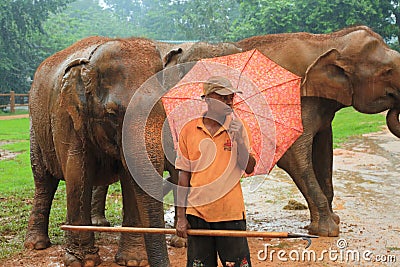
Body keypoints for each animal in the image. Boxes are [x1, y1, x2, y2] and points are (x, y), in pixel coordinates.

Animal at [23, 36, 170, 267]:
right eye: (111, 114)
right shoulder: (67, 116)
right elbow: (77, 173)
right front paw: (82, 261)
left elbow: (130, 179)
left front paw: (133, 260)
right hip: (36, 131)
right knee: (44, 181)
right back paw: (36, 245)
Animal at [162, 26, 400, 238]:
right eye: (387, 72)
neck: (327, 40)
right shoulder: (299, 101)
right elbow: (294, 156)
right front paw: (327, 231)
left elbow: (324, 153)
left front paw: (329, 222)